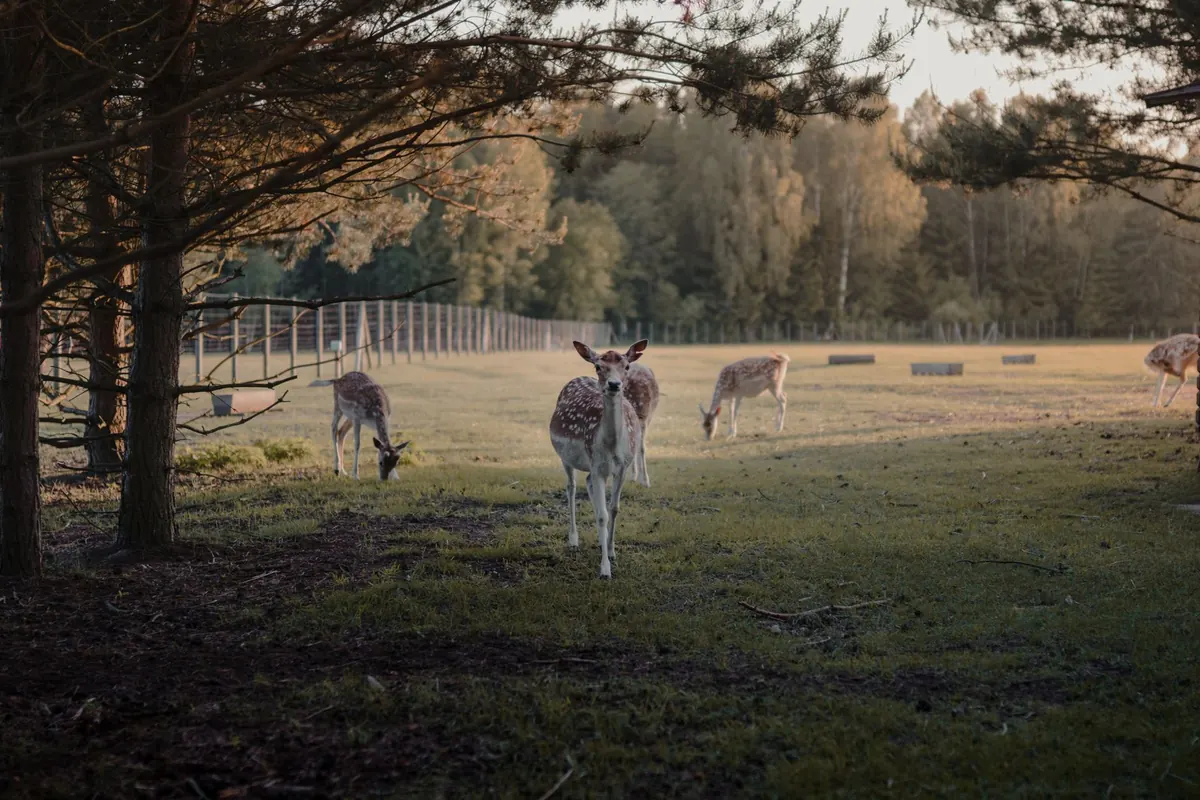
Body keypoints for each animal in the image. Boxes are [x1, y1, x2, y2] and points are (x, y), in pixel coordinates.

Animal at [549, 340, 647, 579]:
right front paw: (604, 569)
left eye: (627, 366)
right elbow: (603, 515)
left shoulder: (622, 467)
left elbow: (614, 508)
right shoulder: (597, 466)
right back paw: (573, 540)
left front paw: (611, 551)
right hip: (566, 457)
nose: (614, 384)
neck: (612, 447)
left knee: (587, 484)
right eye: (598, 366)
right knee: (571, 487)